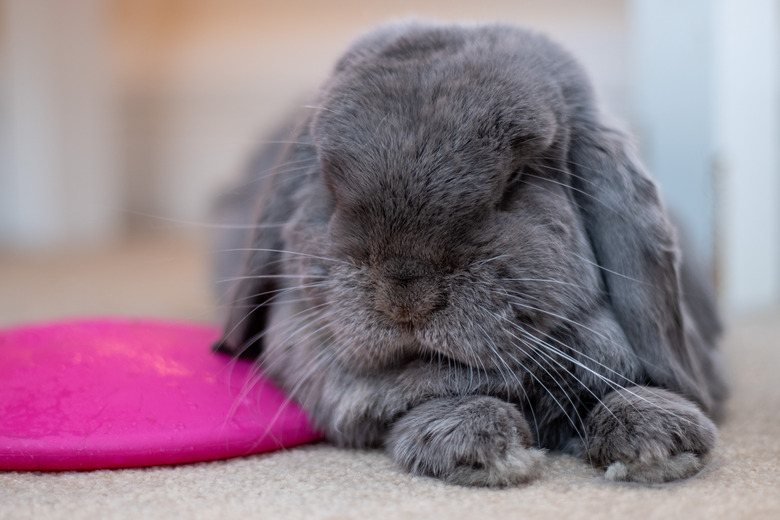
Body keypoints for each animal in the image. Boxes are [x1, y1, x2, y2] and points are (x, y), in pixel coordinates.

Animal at [212, 22, 728, 487]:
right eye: (328, 183)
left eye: (517, 180)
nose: (405, 293)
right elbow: (420, 402)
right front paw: (484, 448)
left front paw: (661, 440)